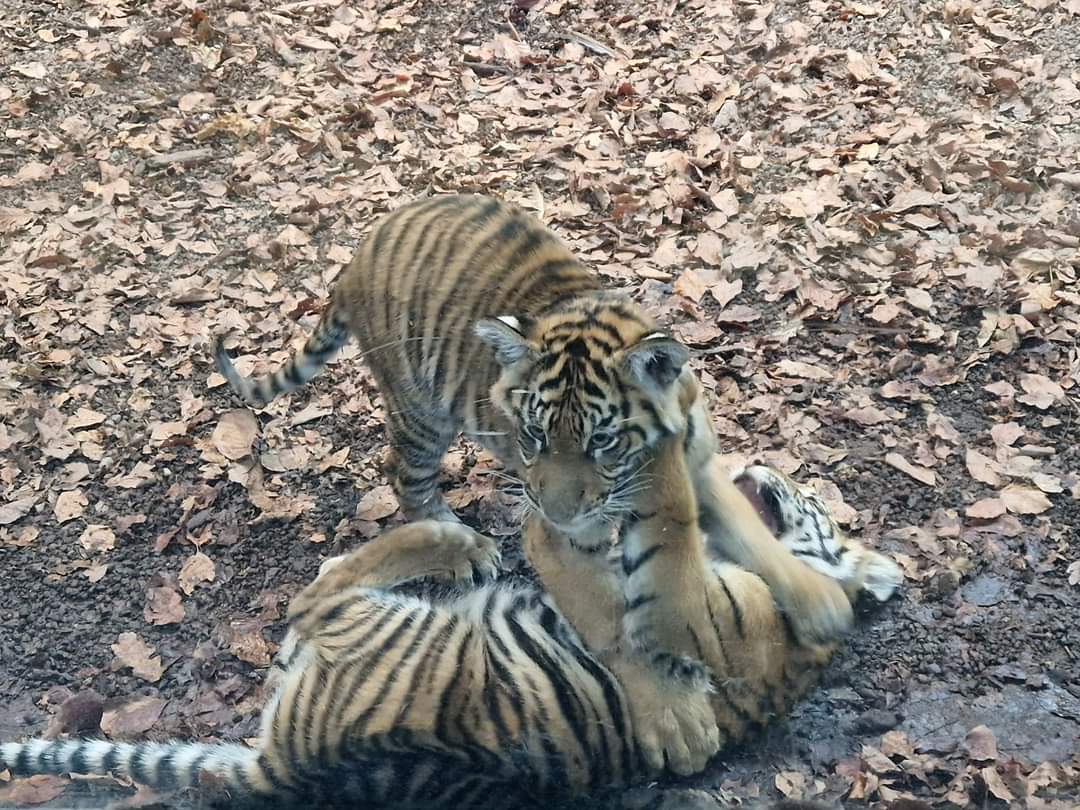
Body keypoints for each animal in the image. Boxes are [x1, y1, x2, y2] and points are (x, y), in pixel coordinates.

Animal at [0, 410, 902, 809]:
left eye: (812, 499)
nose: (766, 467)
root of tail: (283, 765)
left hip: (380, 633)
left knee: (316, 594)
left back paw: (450, 540)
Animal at [212, 192, 852, 647]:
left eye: (603, 441)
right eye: (534, 434)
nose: (559, 513)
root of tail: (359, 256)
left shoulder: (697, 464)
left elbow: (750, 531)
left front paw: (820, 604)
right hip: (420, 408)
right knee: (407, 479)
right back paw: (461, 547)